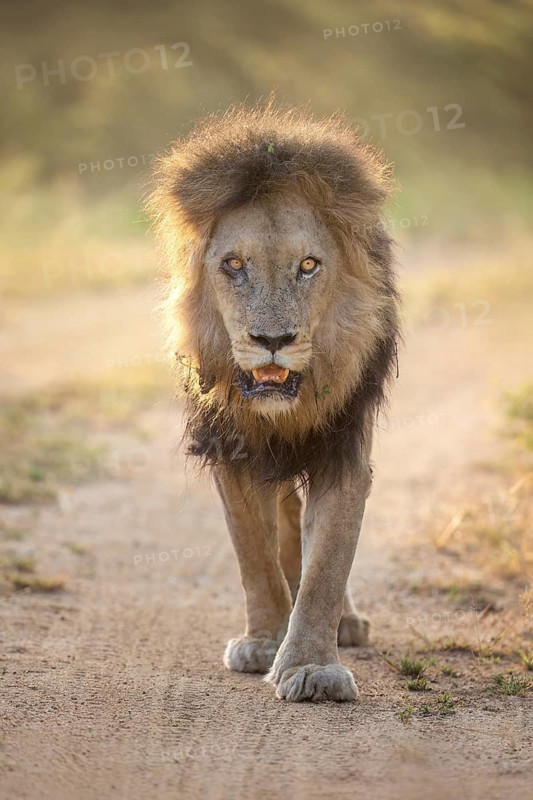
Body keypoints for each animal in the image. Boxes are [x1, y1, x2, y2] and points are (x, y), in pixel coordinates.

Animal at [148, 101, 399, 702]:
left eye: (308, 266)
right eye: (234, 265)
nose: (273, 339)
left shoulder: (344, 451)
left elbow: (327, 564)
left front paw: (312, 666)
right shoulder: (232, 453)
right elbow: (254, 555)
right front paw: (264, 642)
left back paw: (344, 622)